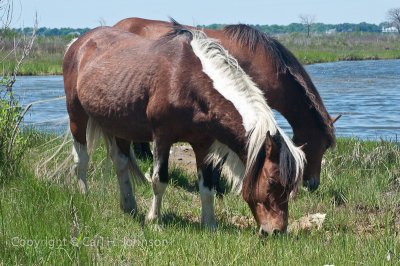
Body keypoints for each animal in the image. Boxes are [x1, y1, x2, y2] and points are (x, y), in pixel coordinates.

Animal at [63, 26, 306, 235]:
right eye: (273, 182)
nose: (276, 231)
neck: (187, 79)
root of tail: (78, 42)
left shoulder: (203, 144)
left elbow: (207, 187)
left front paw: (210, 225)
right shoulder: (162, 137)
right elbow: (159, 180)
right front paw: (154, 221)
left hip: (120, 126)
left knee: (120, 162)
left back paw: (129, 206)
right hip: (77, 115)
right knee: (82, 157)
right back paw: (84, 194)